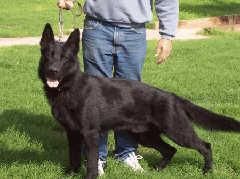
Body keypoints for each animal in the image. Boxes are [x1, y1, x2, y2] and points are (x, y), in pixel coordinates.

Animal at [39, 23, 240, 179]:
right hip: (146, 136)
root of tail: (173, 97)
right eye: (48, 56)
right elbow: (73, 158)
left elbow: (91, 164)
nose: (53, 71)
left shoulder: (90, 135)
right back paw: (158, 169)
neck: (68, 88)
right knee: (170, 150)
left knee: (205, 146)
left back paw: (207, 171)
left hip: (178, 132)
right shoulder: (72, 133)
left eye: (64, 58)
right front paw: (70, 174)